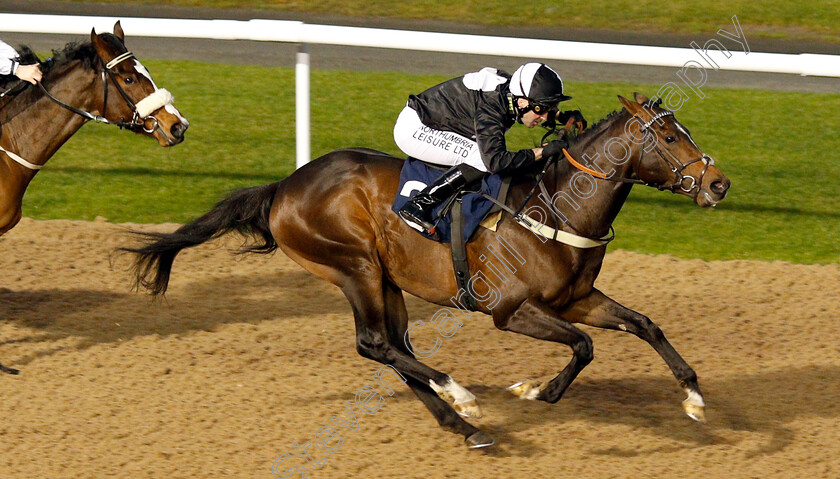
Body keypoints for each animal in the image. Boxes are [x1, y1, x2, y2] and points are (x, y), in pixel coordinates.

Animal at [123, 94, 728, 450]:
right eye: (669, 137)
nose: (719, 183)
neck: (555, 206)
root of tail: (284, 187)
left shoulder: (575, 298)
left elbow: (644, 325)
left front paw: (694, 399)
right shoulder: (511, 310)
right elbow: (583, 347)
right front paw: (535, 391)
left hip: (386, 280)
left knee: (393, 349)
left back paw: (463, 424)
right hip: (355, 266)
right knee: (375, 344)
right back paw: (460, 396)